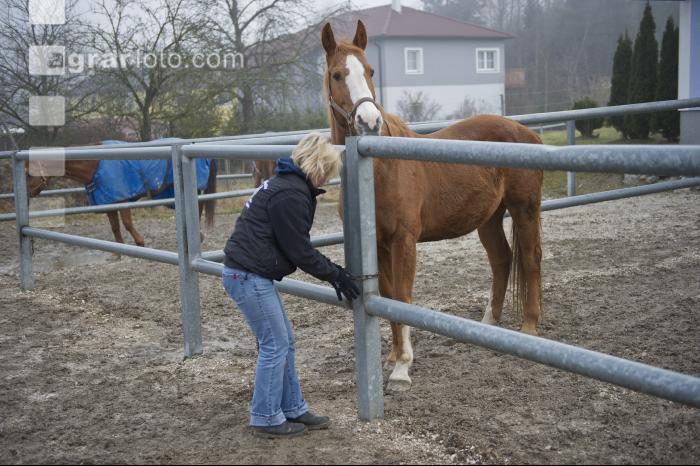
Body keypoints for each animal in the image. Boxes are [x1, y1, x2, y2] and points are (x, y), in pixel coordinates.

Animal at [26, 155, 218, 253]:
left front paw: (140, 243)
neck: (94, 165)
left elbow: (126, 224)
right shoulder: (110, 202)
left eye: (28, 173)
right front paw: (118, 252)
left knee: (197, 208)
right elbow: (115, 228)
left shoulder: (123, 200)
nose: (26, 195)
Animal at [322, 20, 544, 391]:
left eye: (370, 71)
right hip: (489, 219)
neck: (379, 167)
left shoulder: (404, 240)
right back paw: (489, 324)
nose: (370, 122)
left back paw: (529, 328)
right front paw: (393, 357)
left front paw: (402, 368)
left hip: (525, 209)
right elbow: (387, 295)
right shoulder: (378, 244)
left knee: (530, 260)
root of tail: (530, 134)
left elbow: (403, 297)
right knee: (502, 260)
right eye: (338, 74)